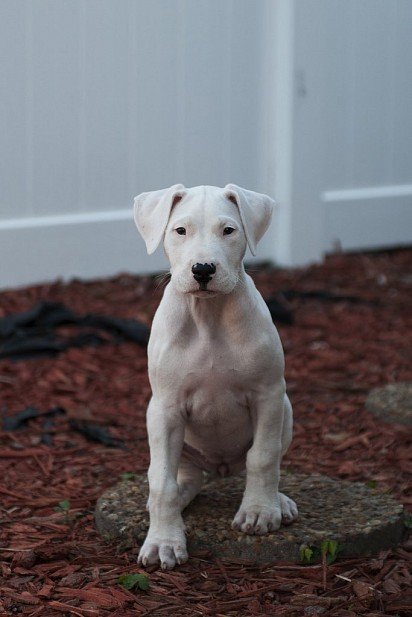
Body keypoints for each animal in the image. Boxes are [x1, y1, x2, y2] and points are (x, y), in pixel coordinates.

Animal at [134, 183, 298, 568]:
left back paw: (278, 502)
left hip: (285, 410)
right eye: (180, 230)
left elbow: (263, 457)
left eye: (229, 230)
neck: (208, 315)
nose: (203, 269)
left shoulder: (268, 394)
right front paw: (163, 541)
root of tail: (220, 467)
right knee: (182, 480)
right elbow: (160, 481)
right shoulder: (165, 408)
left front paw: (259, 511)